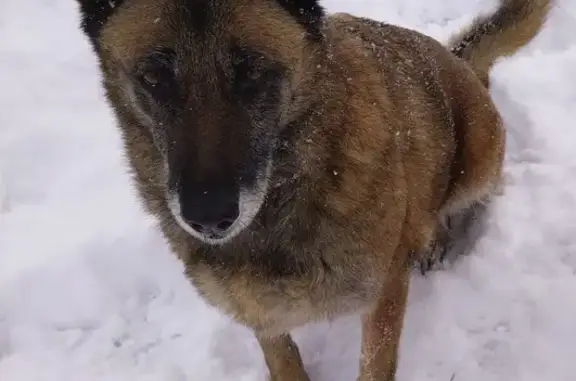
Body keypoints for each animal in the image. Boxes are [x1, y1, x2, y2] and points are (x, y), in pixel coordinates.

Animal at [74, 0, 552, 378]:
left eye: (252, 72)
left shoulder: (383, 294)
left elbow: (374, 364)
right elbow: (282, 357)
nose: (208, 217)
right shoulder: (257, 310)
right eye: (154, 77)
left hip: (477, 157)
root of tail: (459, 60)